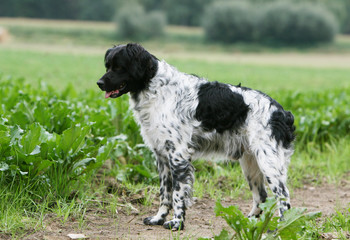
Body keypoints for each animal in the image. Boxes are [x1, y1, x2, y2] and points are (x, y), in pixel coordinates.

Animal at [98, 43, 296, 231]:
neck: (157, 89)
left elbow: (177, 194)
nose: (99, 83)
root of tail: (282, 113)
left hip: (268, 162)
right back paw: (248, 223)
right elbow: (164, 193)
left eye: (119, 67)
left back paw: (281, 227)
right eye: (107, 66)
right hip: (250, 163)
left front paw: (177, 223)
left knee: (283, 196)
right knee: (261, 196)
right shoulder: (162, 156)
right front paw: (158, 218)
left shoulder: (178, 155)